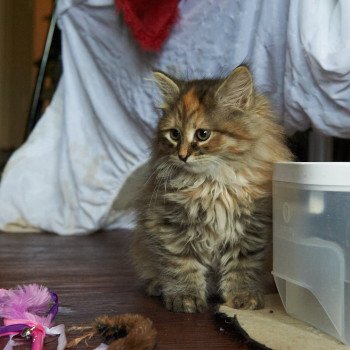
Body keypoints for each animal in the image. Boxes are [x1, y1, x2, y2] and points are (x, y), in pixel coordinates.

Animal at [131, 65, 292, 312]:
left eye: (202, 134)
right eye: (174, 134)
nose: (182, 155)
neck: (213, 183)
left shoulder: (252, 228)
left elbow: (243, 264)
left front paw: (242, 296)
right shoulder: (169, 223)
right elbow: (181, 263)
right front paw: (185, 296)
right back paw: (158, 285)